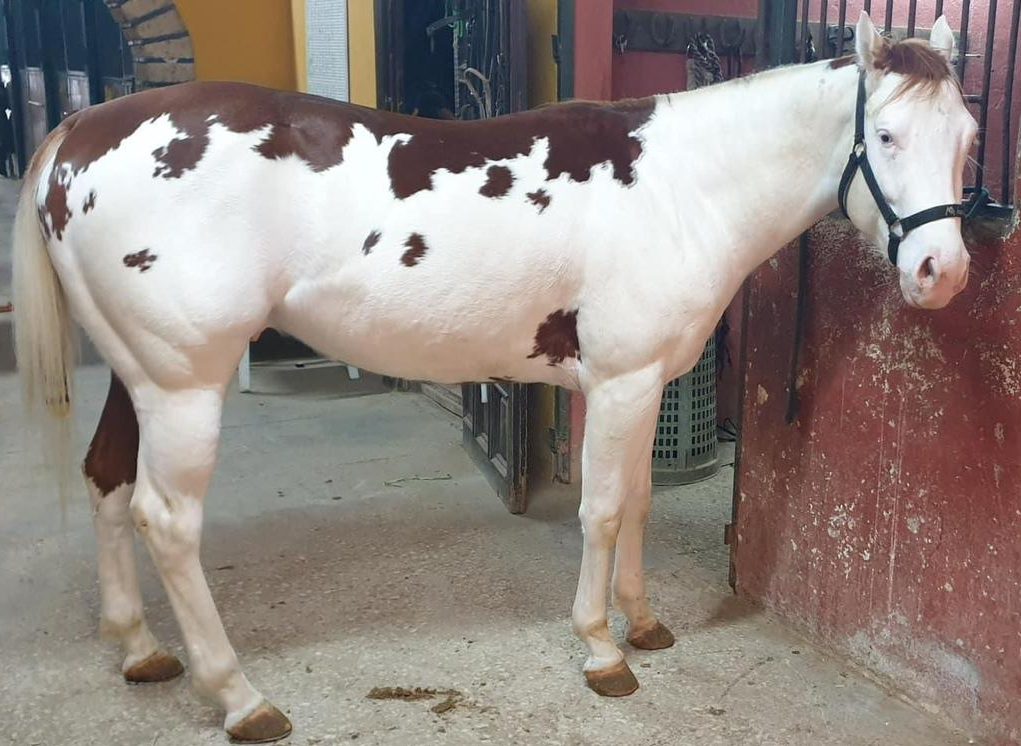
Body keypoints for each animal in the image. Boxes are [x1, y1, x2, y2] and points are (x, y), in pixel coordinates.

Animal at [13, 13, 976, 742]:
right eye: (884, 135)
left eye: (966, 138)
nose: (943, 272)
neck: (681, 186)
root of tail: (80, 132)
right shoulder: (620, 384)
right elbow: (602, 512)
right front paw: (602, 650)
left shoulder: (644, 383)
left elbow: (637, 502)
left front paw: (644, 622)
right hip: (183, 387)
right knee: (166, 521)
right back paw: (239, 697)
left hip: (138, 376)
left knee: (107, 482)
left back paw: (139, 649)